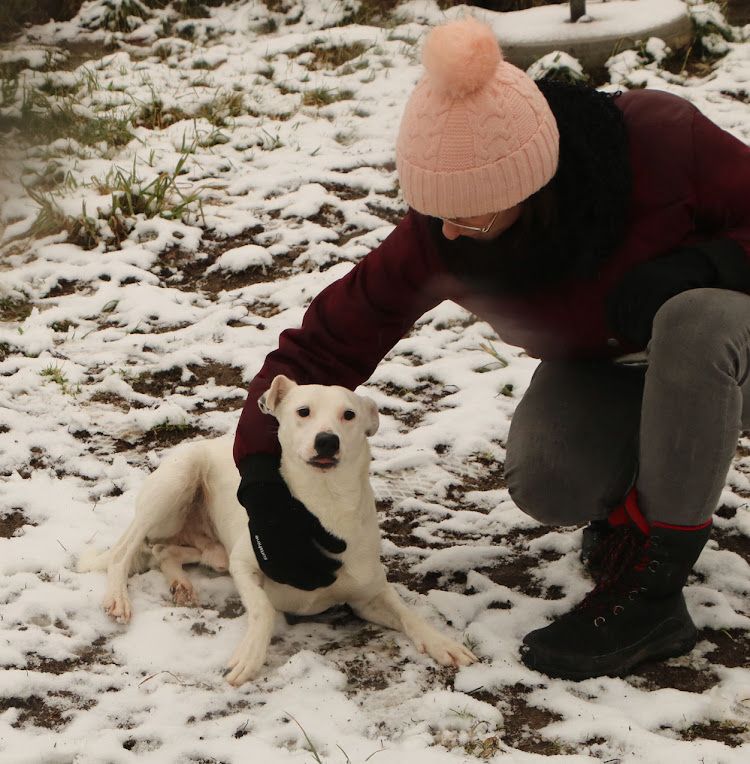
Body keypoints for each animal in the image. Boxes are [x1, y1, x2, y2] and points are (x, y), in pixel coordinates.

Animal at [76, 376, 476, 688]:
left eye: (348, 415)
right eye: (303, 412)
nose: (327, 440)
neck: (323, 507)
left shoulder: (369, 596)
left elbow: (409, 614)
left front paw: (441, 642)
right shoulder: (245, 564)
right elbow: (263, 610)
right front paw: (250, 656)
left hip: (210, 550)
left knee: (165, 552)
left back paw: (182, 584)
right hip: (175, 484)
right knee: (124, 551)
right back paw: (119, 597)